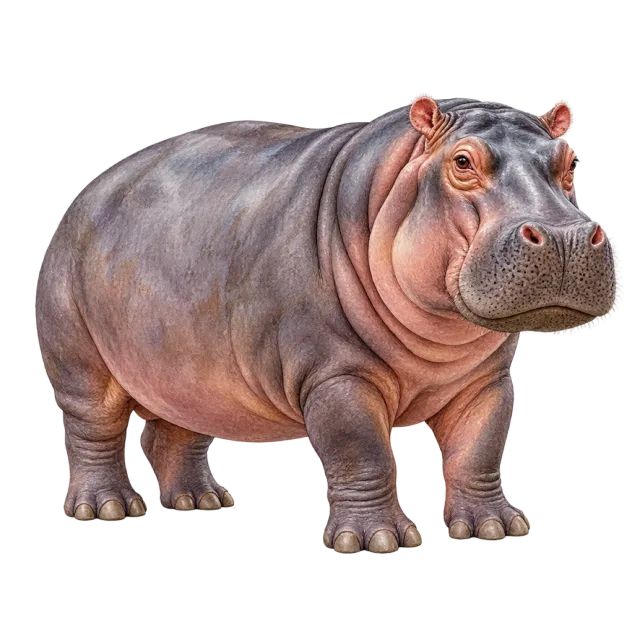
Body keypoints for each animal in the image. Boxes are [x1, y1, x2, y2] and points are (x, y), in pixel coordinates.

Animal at [38, 95, 622, 550]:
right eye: (461, 161)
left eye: (571, 161)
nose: (564, 236)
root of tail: (89, 190)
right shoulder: (335, 374)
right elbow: (362, 452)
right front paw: (376, 541)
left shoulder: (487, 381)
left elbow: (479, 448)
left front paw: (495, 528)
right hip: (81, 360)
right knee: (93, 430)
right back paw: (107, 508)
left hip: (187, 372)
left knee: (182, 431)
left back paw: (202, 499)